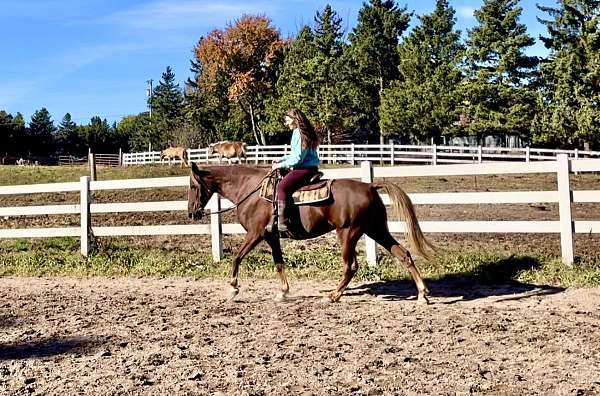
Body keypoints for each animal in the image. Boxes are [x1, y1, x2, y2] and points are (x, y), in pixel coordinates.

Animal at [185, 163, 434, 304]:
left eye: (193, 186)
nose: (191, 213)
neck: (250, 190)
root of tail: (370, 186)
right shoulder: (271, 236)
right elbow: (279, 263)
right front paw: (283, 292)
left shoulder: (255, 234)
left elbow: (237, 258)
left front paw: (232, 288)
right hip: (376, 229)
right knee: (404, 254)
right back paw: (422, 294)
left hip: (348, 233)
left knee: (351, 266)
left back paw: (333, 295)